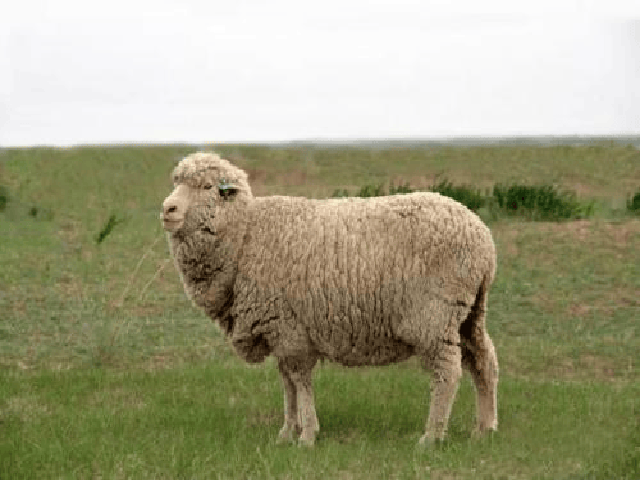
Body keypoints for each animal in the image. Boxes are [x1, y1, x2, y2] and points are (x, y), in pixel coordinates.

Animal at [161, 151, 499, 446]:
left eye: (207, 187)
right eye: (176, 183)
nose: (167, 209)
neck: (245, 236)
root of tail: (482, 236)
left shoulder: (289, 327)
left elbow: (299, 380)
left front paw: (307, 436)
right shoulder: (277, 328)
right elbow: (286, 383)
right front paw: (287, 433)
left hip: (433, 317)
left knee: (447, 372)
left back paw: (431, 437)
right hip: (468, 313)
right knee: (483, 360)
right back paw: (484, 429)